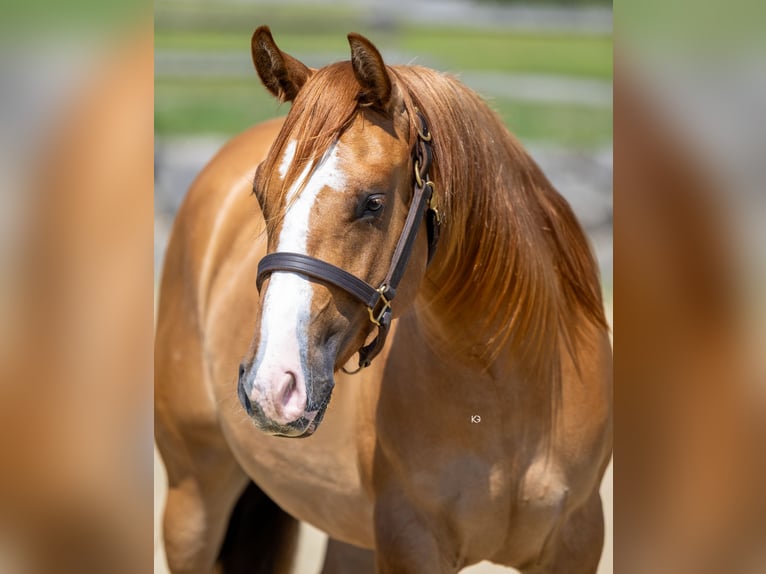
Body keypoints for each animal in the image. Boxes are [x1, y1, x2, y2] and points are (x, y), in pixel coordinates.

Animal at [155, 26, 612, 574]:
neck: (509, 390)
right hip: (192, 500)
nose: (272, 386)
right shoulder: (409, 541)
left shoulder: (577, 538)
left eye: (372, 202)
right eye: (261, 196)